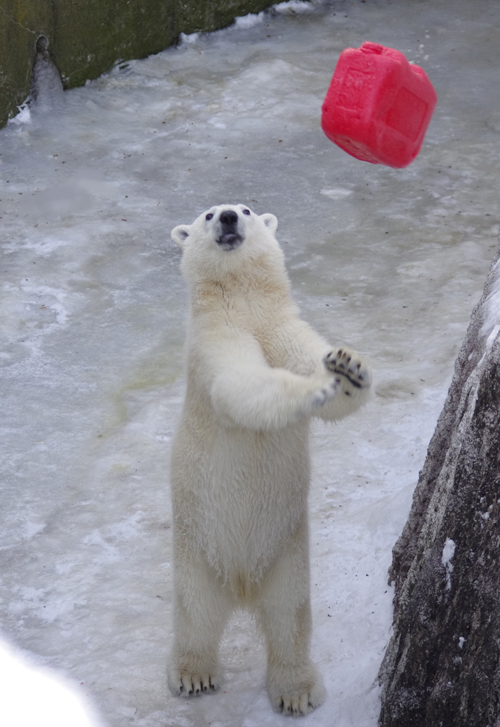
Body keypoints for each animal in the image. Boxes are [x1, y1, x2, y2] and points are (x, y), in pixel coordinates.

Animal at [168, 205, 372, 716]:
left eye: (244, 209)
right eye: (206, 214)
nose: (226, 217)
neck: (243, 301)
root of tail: (242, 586)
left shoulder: (281, 329)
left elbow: (311, 356)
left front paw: (348, 368)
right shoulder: (215, 340)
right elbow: (240, 384)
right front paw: (314, 389)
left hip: (288, 555)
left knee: (288, 617)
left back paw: (296, 690)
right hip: (198, 552)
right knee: (196, 614)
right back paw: (193, 674)